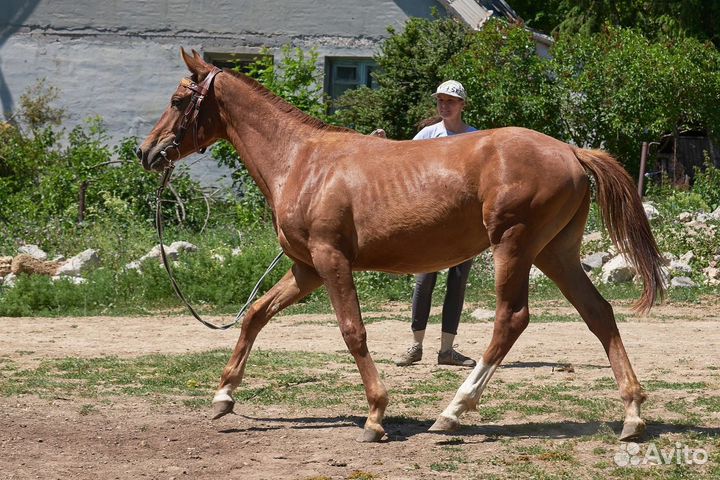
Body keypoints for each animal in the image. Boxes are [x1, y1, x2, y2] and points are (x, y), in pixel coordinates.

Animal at [138, 48, 668, 442]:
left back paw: (452, 411)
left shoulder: (332, 261)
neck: (302, 162)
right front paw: (223, 397)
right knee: (599, 313)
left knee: (511, 319)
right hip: (555, 253)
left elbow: (353, 332)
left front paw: (375, 415)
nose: (147, 152)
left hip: (515, 247)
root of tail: (572, 152)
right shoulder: (306, 270)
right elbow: (255, 315)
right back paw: (632, 415)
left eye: (178, 100)